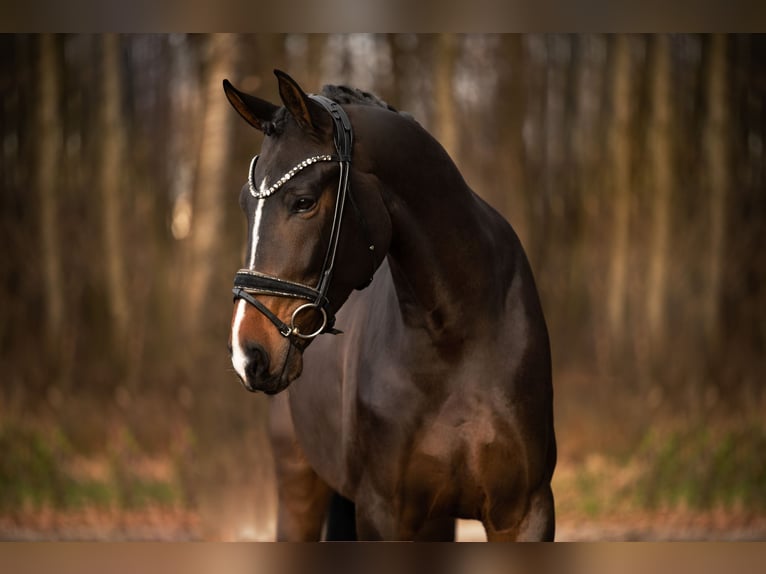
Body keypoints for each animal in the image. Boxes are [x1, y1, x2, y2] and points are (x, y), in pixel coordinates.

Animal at [224, 70, 556, 541]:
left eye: (303, 201)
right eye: (244, 204)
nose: (246, 354)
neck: (458, 337)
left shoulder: (525, 512)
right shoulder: (382, 512)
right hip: (298, 484)